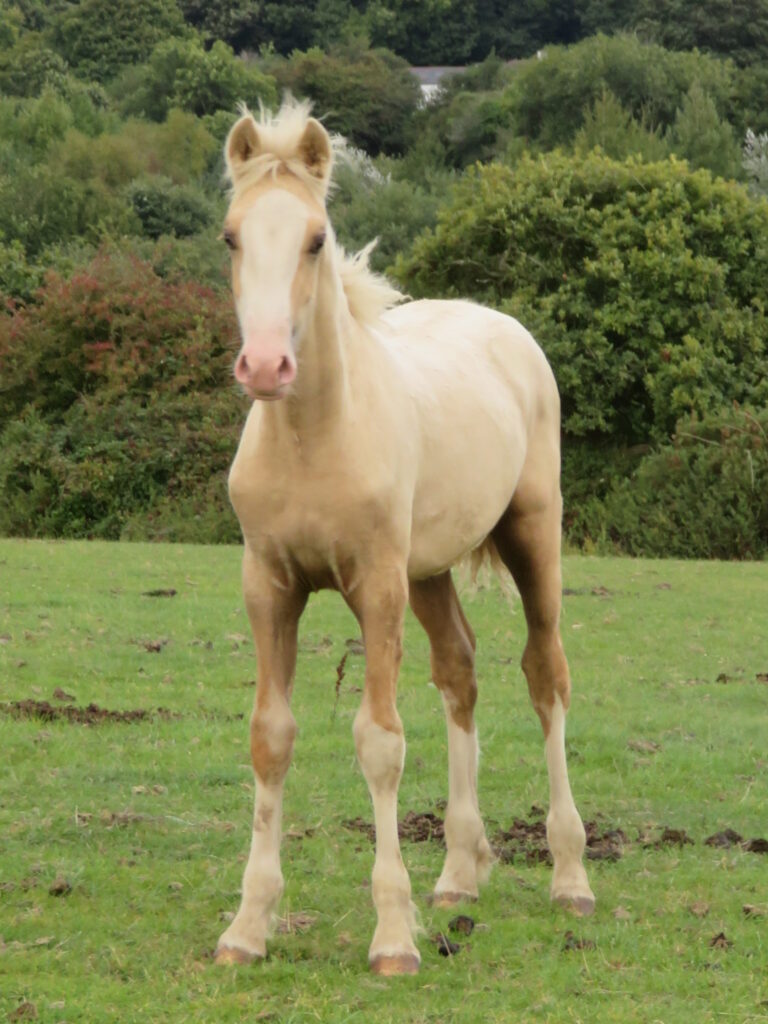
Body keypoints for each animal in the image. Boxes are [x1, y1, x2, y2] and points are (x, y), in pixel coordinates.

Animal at [215, 101, 593, 974]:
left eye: (315, 238)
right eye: (231, 237)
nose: (265, 366)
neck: (315, 439)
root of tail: (505, 327)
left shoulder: (376, 584)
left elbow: (380, 742)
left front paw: (392, 935)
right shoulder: (269, 586)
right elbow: (270, 737)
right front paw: (248, 926)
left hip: (531, 537)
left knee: (545, 675)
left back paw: (570, 875)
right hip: (429, 571)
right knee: (459, 672)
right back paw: (457, 873)